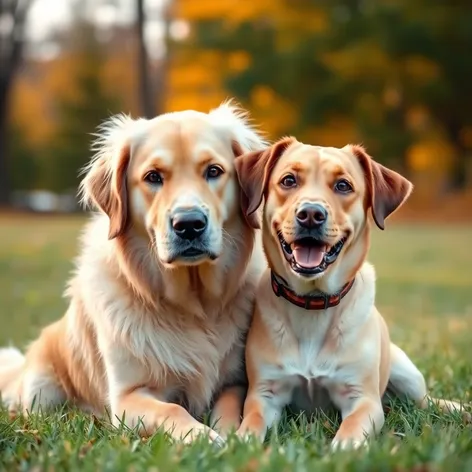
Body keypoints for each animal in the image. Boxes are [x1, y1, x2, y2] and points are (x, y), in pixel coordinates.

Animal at [0, 101, 266, 444]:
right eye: (153, 176)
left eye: (214, 171)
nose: (189, 224)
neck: (193, 307)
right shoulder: (128, 397)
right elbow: (172, 410)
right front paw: (206, 438)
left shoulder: (235, 381)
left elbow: (230, 408)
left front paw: (231, 437)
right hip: (40, 387)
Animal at [232, 138, 468, 448]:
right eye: (288, 180)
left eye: (343, 185)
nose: (310, 214)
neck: (313, 303)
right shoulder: (265, 393)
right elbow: (252, 423)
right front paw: (238, 442)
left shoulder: (363, 400)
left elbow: (352, 429)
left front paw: (342, 448)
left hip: (405, 372)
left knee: (424, 401)